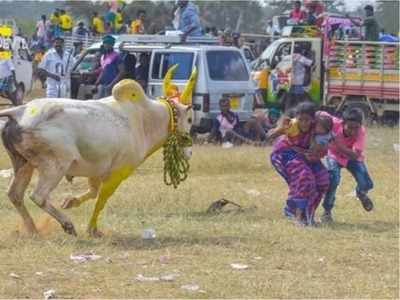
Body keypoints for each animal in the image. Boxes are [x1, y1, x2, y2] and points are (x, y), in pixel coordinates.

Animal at [0, 79, 194, 237]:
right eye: (190, 119)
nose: (190, 152)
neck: (145, 119)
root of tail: (20, 111)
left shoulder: (96, 170)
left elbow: (93, 193)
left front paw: (70, 201)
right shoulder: (119, 172)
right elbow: (101, 200)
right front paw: (92, 229)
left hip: (23, 164)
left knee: (15, 194)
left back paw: (33, 230)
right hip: (55, 166)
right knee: (38, 196)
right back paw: (67, 225)